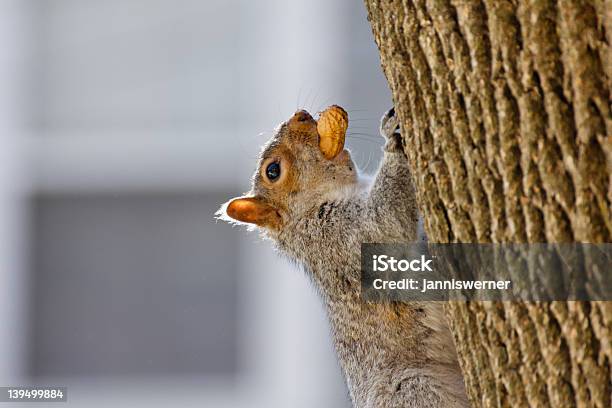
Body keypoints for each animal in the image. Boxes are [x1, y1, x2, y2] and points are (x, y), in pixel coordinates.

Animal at [218, 106, 466, 408]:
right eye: (273, 171)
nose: (300, 114)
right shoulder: (341, 235)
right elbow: (385, 221)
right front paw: (392, 138)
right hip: (414, 390)